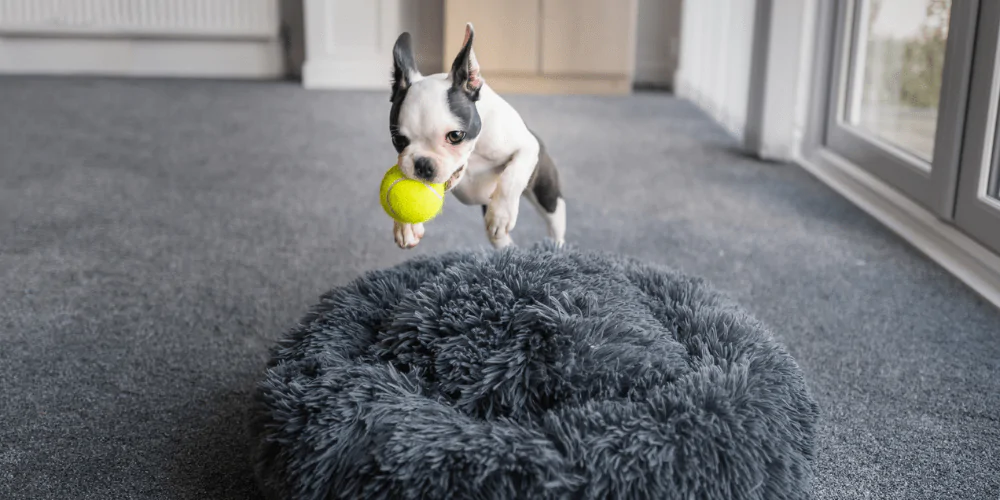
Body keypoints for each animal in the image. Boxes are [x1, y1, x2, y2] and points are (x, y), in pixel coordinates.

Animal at [388, 23, 568, 250]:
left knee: (555, 220)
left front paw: (501, 215)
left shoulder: (527, 145)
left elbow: (511, 176)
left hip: (546, 192)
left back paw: (555, 248)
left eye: (455, 136)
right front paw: (406, 227)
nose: (422, 164)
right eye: (398, 141)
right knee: (500, 241)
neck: (473, 154)